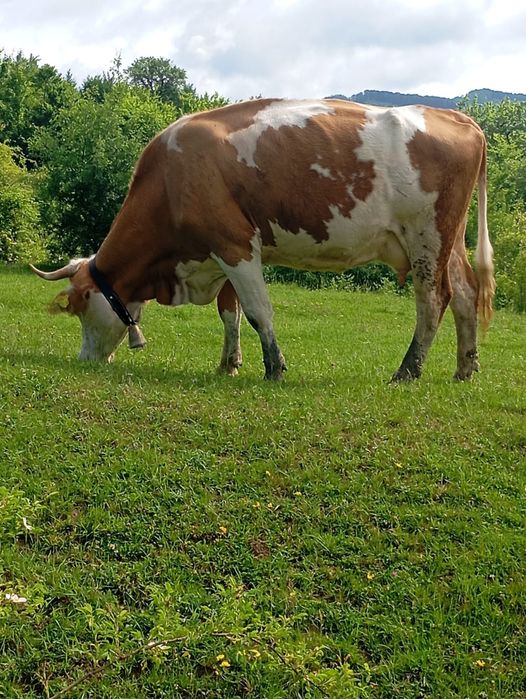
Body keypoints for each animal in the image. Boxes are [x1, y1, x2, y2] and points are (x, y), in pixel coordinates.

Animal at [31, 98, 495, 381]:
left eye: (78, 307)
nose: (84, 360)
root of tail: (458, 118)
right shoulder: (220, 254)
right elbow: (230, 313)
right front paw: (229, 364)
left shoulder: (234, 244)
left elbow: (257, 312)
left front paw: (273, 367)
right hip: (449, 240)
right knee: (466, 293)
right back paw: (465, 369)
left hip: (427, 237)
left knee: (433, 300)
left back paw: (408, 371)